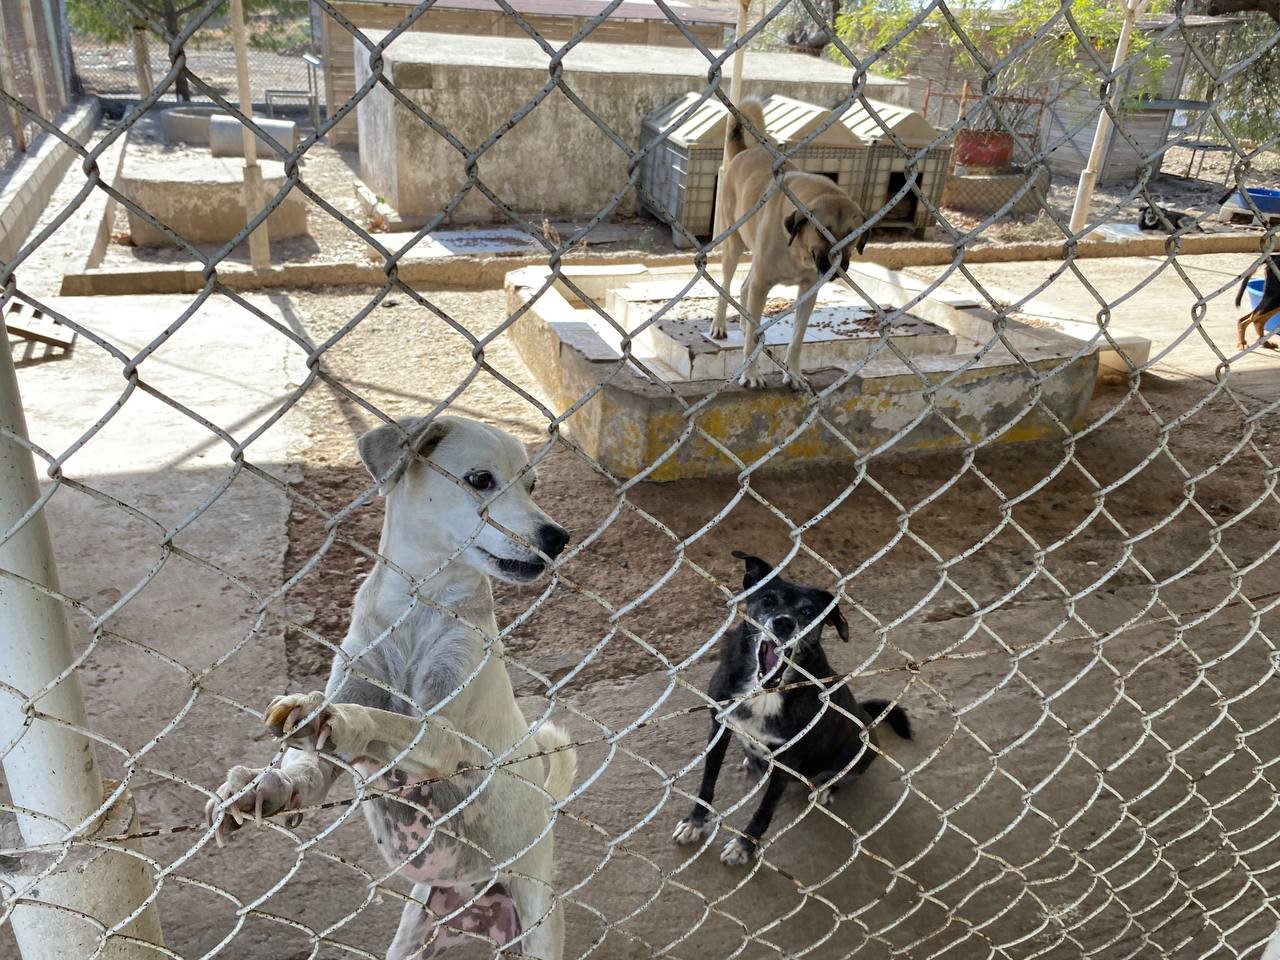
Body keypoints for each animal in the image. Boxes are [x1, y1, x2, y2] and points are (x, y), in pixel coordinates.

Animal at [207, 417, 578, 960]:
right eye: (480, 479)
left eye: (533, 486)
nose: (558, 537)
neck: (416, 605)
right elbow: (305, 769)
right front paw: (264, 786)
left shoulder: (444, 738)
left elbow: (391, 721)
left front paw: (338, 719)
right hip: (414, 929)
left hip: (541, 923)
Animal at [670, 552, 911, 870]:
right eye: (768, 599)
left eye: (809, 611)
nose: (784, 623)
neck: (763, 693)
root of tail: (865, 716)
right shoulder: (719, 728)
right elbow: (707, 784)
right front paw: (695, 822)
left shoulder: (789, 758)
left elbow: (765, 810)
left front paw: (744, 847)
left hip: (856, 754)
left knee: (840, 776)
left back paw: (825, 788)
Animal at [706, 97, 875, 394]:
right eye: (822, 230)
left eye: (852, 235)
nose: (837, 269)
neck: (799, 253)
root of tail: (743, 152)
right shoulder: (764, 280)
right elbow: (754, 340)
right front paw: (751, 374)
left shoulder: (808, 290)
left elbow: (797, 338)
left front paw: (794, 374)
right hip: (734, 245)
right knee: (726, 285)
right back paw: (720, 324)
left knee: (745, 288)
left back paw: (745, 322)